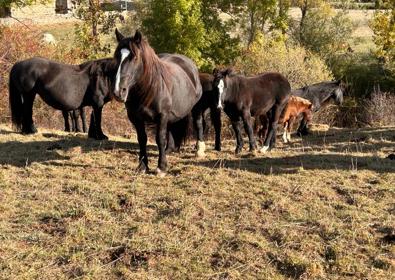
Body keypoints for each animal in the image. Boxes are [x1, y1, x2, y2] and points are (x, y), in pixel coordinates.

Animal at [113, 30, 203, 175]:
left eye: (135, 57)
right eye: (117, 56)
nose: (119, 91)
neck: (149, 88)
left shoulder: (162, 116)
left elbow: (159, 139)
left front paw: (161, 167)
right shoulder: (136, 118)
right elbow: (142, 139)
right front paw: (142, 166)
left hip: (195, 108)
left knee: (198, 123)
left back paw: (199, 150)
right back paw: (169, 149)